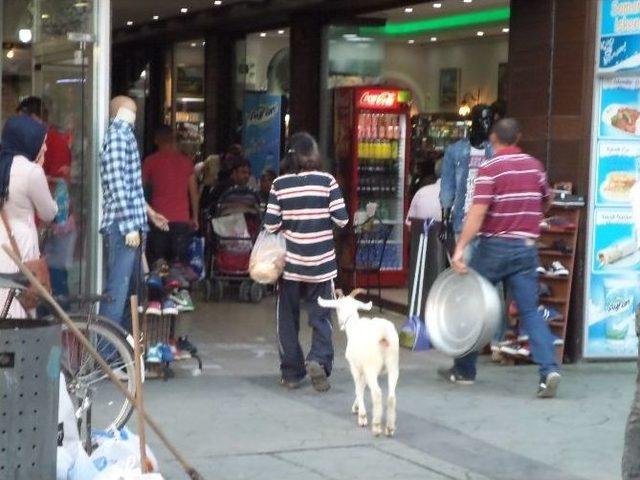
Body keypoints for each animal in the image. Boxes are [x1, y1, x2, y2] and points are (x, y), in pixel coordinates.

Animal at [318, 286, 398, 436]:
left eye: (337, 308)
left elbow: (358, 388)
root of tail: (383, 334)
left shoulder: (355, 367)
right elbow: (362, 387)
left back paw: (376, 426)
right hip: (393, 365)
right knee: (391, 396)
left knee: (377, 393)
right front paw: (356, 407)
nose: (340, 325)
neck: (353, 325)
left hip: (372, 366)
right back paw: (390, 428)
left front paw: (362, 416)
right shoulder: (363, 369)